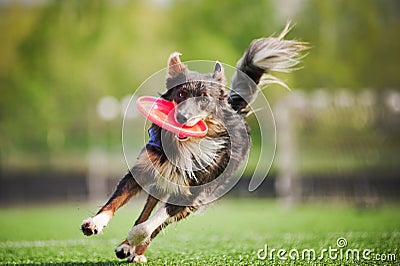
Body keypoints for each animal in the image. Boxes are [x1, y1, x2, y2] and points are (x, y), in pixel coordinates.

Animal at [80, 23, 306, 262]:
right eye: (181, 93)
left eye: (204, 98)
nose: (182, 117)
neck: (183, 147)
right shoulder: (143, 169)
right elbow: (115, 201)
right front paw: (95, 223)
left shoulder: (191, 195)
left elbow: (149, 226)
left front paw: (134, 238)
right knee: (147, 210)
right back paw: (125, 247)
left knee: (156, 224)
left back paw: (136, 250)